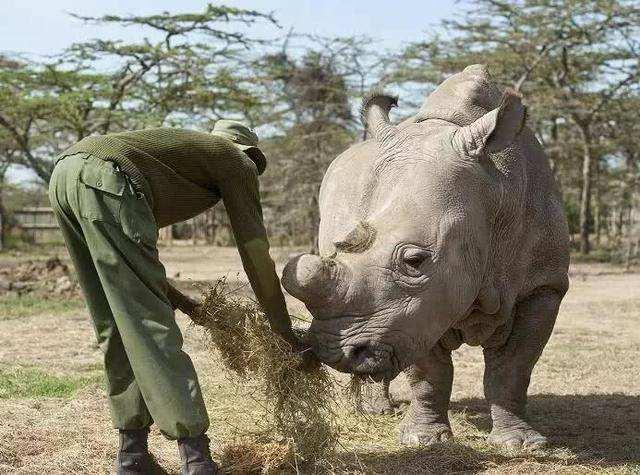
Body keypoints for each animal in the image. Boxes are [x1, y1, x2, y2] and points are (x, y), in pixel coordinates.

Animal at [282, 64, 568, 450]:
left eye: (414, 261)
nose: (332, 351)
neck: (491, 195)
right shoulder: (413, 311)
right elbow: (428, 370)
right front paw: (424, 440)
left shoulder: (544, 285)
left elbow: (513, 366)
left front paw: (522, 444)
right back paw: (374, 411)